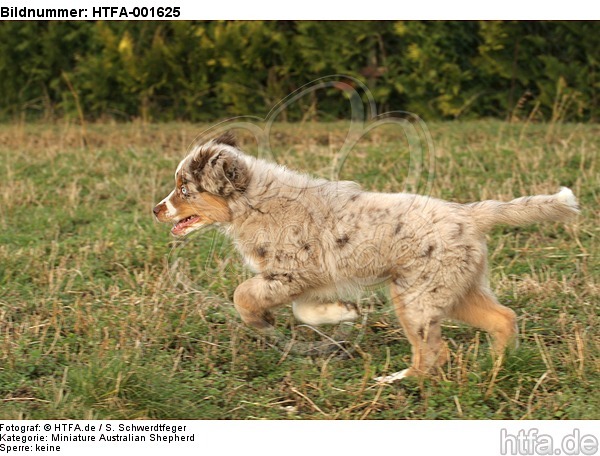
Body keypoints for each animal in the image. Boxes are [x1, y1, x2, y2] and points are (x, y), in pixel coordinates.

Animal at [152, 132, 580, 382]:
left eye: (184, 189)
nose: (155, 210)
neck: (253, 202)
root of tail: (469, 214)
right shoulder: (314, 279)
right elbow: (305, 311)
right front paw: (344, 313)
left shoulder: (291, 273)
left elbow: (243, 294)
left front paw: (261, 320)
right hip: (456, 288)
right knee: (502, 318)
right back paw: (496, 369)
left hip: (416, 296)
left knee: (433, 352)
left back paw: (397, 382)